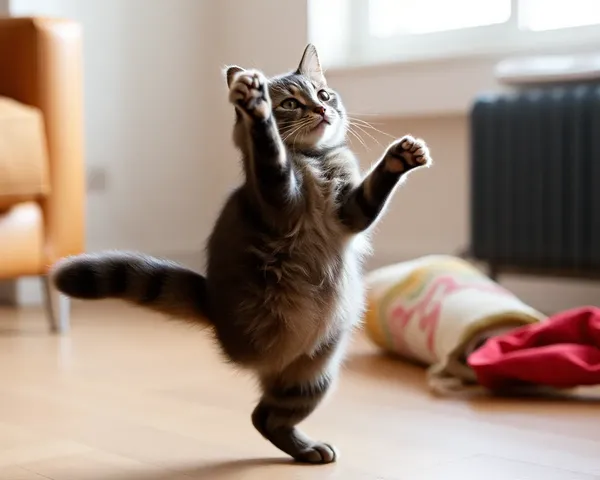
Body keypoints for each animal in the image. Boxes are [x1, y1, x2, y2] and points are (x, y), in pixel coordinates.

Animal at [50, 43, 432, 464]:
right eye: (290, 103)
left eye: (323, 94)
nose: (321, 109)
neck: (314, 161)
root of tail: (216, 310)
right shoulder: (278, 199)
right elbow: (270, 153)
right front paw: (256, 108)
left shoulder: (352, 211)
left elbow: (374, 189)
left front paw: (400, 158)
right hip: (310, 377)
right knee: (261, 418)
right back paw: (307, 449)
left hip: (313, 377)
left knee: (265, 417)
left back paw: (305, 449)